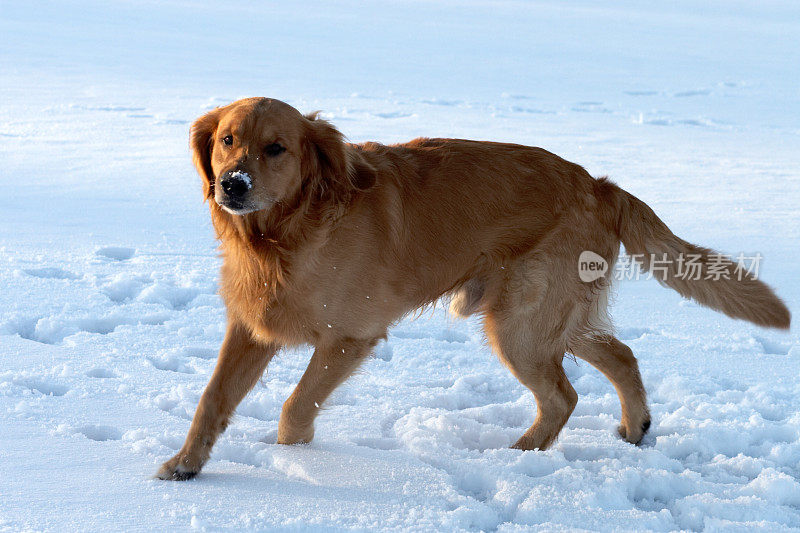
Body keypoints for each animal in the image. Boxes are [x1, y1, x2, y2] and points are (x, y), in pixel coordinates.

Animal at [155, 97, 788, 480]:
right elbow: (212, 398)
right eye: (227, 140)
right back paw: (636, 430)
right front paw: (185, 466)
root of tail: (600, 184)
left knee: (564, 395)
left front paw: (295, 461)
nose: (232, 185)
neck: (286, 235)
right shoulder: (250, 329)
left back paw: (519, 456)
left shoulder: (350, 337)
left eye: (276, 148)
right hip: (549, 318)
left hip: (520, 323)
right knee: (621, 355)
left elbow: (295, 406)